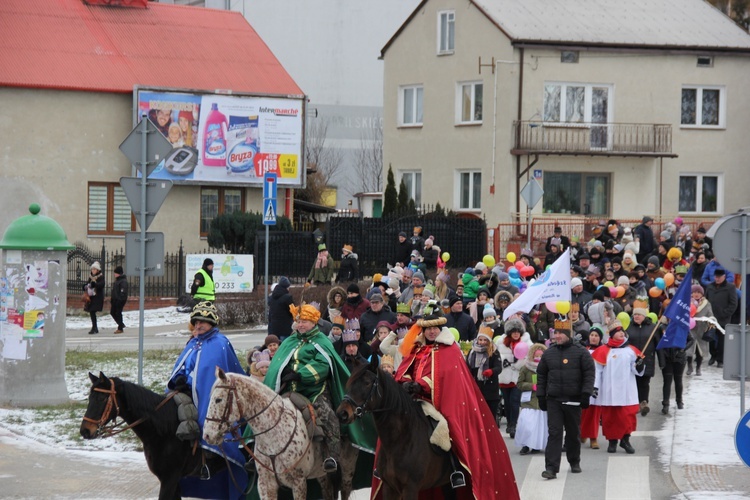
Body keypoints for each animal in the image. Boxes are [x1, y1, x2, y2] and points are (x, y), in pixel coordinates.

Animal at [204, 368, 360, 500]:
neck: (274, 435)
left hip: (347, 469)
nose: (207, 435)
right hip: (322, 474)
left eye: (218, 399)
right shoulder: (265, 483)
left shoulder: (299, 482)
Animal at [336, 358, 456, 498]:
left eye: (367, 383)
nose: (342, 414)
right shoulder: (390, 487)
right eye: (350, 382)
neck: (400, 440)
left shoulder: (410, 488)